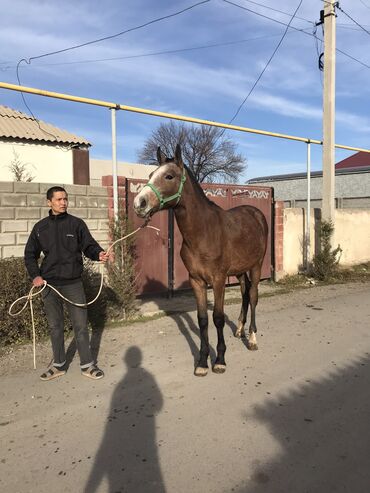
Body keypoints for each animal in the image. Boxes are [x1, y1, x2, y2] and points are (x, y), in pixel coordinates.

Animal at [134, 144, 268, 374]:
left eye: (169, 176)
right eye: (151, 175)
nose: (139, 203)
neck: (204, 232)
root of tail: (256, 213)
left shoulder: (218, 280)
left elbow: (218, 318)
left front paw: (220, 360)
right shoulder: (196, 280)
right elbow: (203, 319)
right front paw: (203, 362)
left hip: (256, 266)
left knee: (252, 296)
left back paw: (252, 338)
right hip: (240, 271)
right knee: (244, 294)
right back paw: (239, 330)